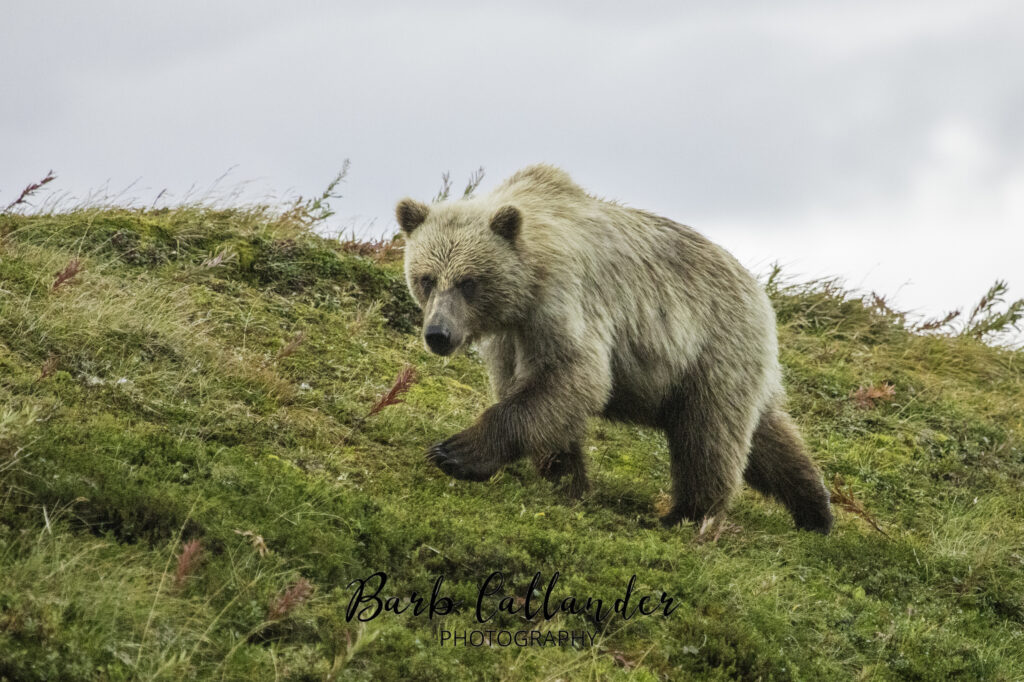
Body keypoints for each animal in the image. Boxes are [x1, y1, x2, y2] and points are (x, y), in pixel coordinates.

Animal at [396, 164, 833, 533]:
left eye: (468, 281)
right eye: (426, 278)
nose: (438, 333)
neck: (526, 286)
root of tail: (758, 289)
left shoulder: (565, 302)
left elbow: (573, 377)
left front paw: (457, 452)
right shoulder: (511, 335)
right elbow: (534, 392)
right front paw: (565, 475)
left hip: (713, 348)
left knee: (708, 435)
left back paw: (687, 514)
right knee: (766, 434)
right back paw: (815, 509)